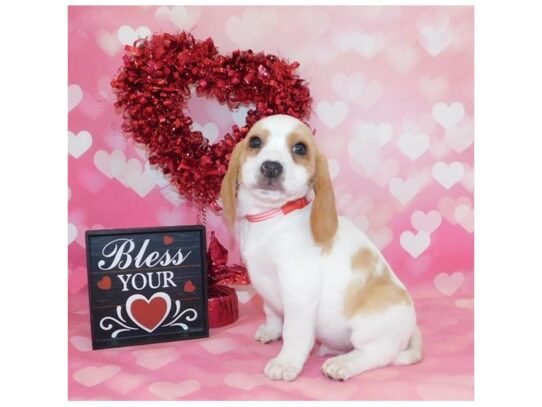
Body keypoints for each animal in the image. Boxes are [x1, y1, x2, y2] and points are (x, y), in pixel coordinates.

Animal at [221, 114, 424, 382]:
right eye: (255, 142)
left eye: (300, 148)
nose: (271, 167)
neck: (272, 217)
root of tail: (412, 326)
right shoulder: (266, 287)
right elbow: (271, 311)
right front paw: (271, 331)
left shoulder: (298, 293)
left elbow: (294, 334)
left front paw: (286, 363)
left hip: (371, 333)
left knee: (376, 354)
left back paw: (342, 364)